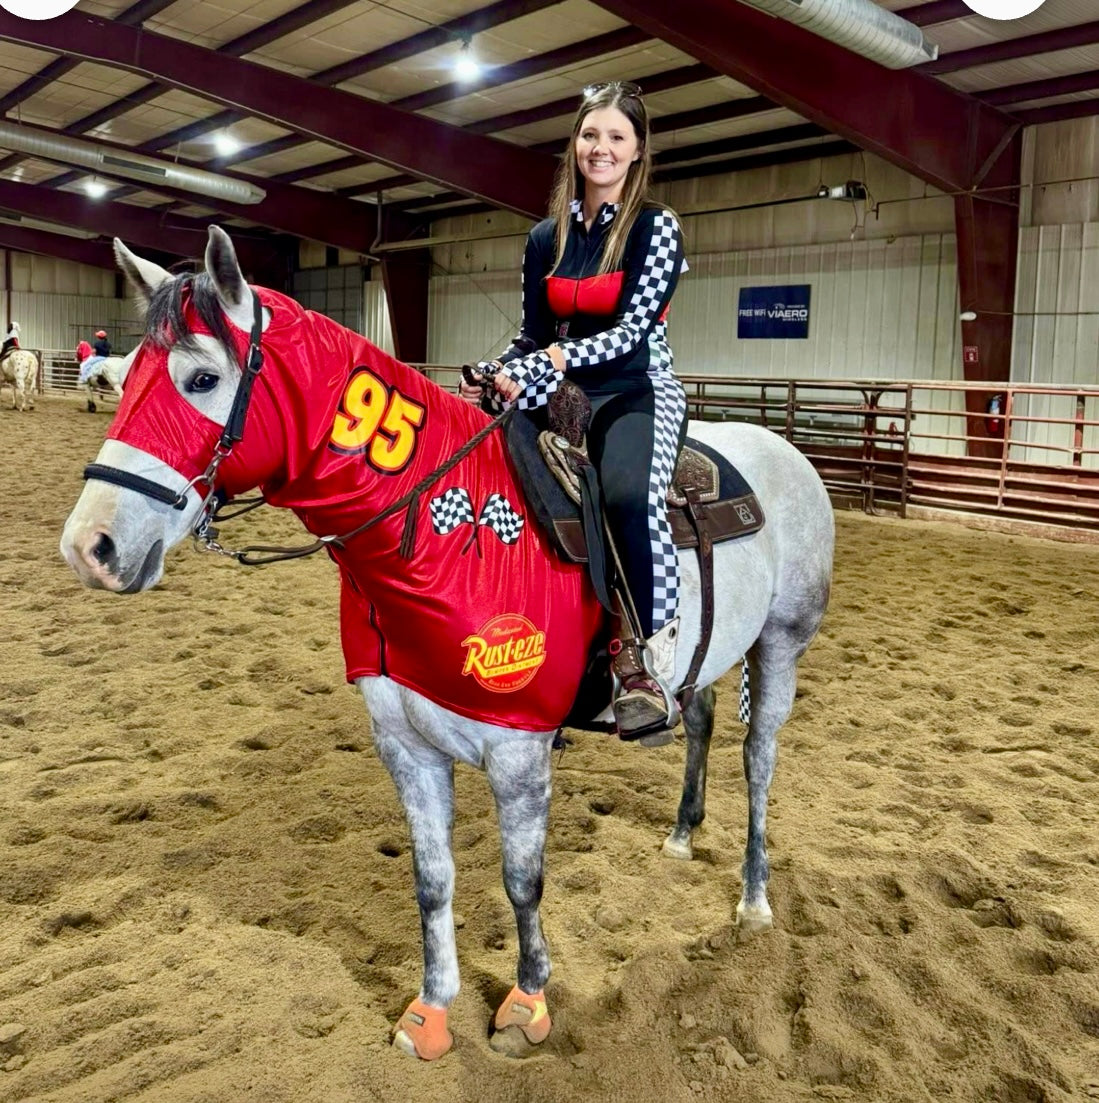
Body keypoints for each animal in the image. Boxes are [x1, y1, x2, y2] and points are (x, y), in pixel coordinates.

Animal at [60, 226, 834, 1061]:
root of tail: (783, 452)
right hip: (704, 657)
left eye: (202, 377)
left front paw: (527, 1002)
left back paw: (751, 900)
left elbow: (521, 880)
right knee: (699, 721)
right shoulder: (405, 745)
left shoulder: (519, 753)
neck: (449, 534)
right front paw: (429, 1012)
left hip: (780, 644)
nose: (90, 546)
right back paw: (683, 833)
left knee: (757, 760)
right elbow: (432, 879)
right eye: (124, 380)